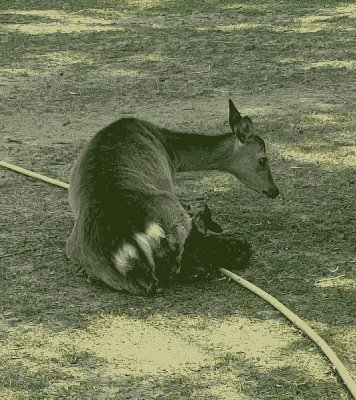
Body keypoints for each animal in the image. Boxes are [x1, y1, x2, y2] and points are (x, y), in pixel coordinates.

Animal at [66, 99, 278, 296]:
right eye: (263, 159)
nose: (274, 190)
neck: (171, 151)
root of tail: (129, 240)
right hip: (175, 218)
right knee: (176, 266)